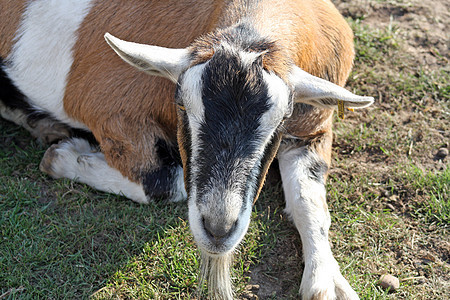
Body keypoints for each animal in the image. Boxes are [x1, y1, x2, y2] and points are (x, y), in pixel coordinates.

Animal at [0, 1, 372, 298]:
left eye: (282, 120)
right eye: (181, 105)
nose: (219, 230)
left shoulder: (310, 130)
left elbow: (308, 201)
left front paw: (327, 283)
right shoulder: (112, 117)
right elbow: (163, 181)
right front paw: (62, 157)